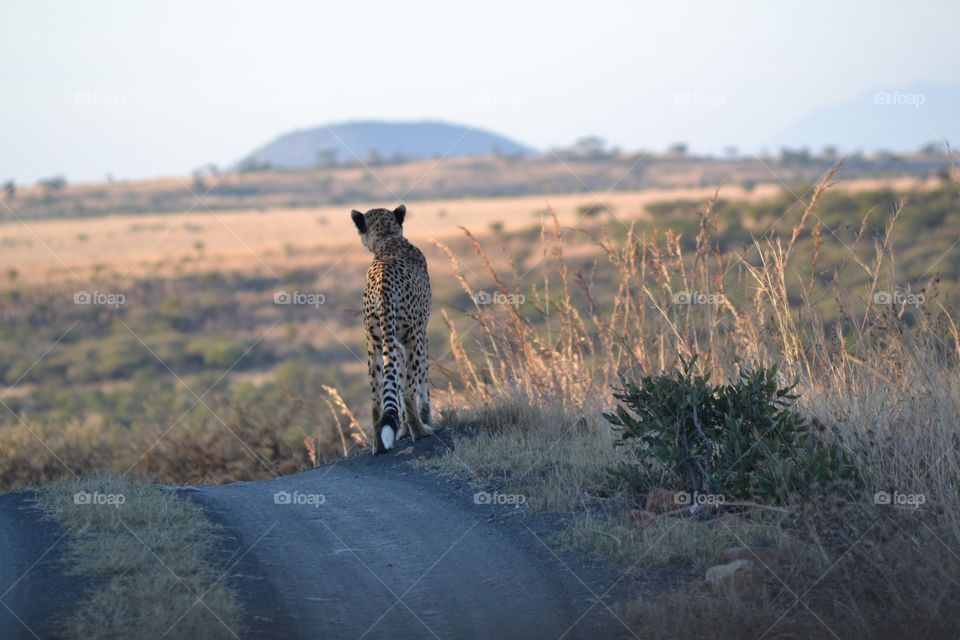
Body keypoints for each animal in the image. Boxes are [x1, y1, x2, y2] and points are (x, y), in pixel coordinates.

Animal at [351, 204, 433, 454]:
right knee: (408, 390)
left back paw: (378, 446)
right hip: (411, 338)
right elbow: (422, 383)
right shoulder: (420, 334)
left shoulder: (393, 344)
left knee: (376, 399)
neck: (389, 241)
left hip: (375, 343)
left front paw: (402, 430)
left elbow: (394, 385)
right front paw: (424, 420)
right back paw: (421, 431)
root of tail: (382, 283)